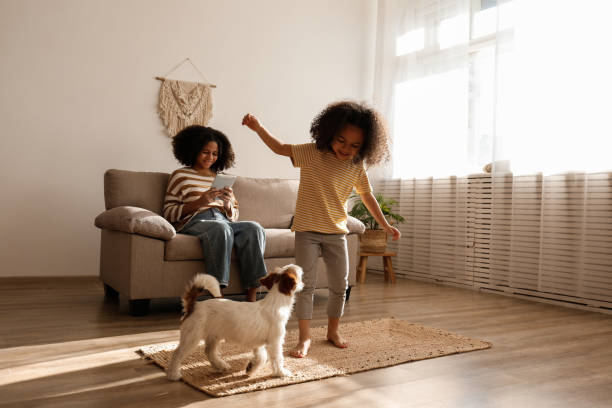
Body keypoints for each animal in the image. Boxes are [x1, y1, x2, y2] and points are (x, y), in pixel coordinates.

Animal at [167, 262, 304, 380]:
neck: (276, 301)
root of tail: (193, 306)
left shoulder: (258, 343)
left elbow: (262, 357)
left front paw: (251, 368)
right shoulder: (275, 342)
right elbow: (277, 358)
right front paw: (281, 373)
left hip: (213, 336)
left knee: (209, 351)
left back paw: (221, 365)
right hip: (192, 337)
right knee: (177, 354)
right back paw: (173, 374)